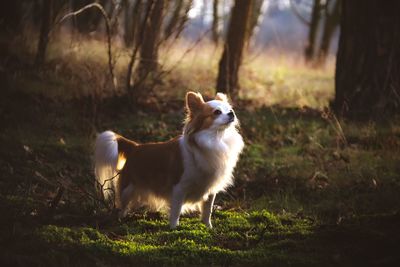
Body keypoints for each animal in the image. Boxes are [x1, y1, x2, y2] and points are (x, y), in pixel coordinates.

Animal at [94, 91, 244, 228]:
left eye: (230, 109)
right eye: (217, 112)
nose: (232, 113)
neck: (216, 139)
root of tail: (135, 147)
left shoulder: (210, 190)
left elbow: (207, 211)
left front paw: (209, 228)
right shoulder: (178, 188)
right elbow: (176, 211)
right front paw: (173, 228)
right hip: (127, 189)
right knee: (122, 207)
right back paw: (120, 220)